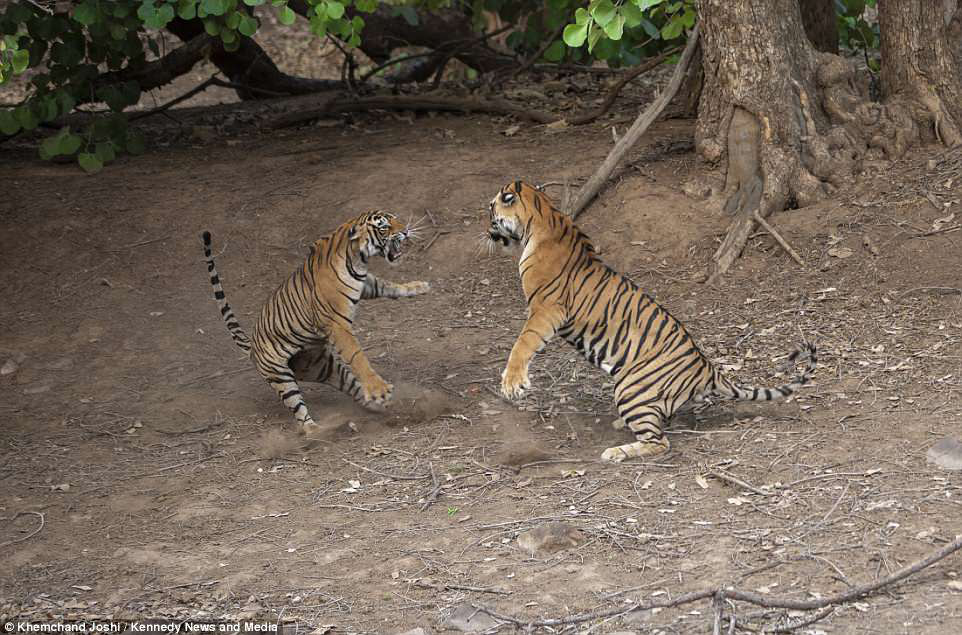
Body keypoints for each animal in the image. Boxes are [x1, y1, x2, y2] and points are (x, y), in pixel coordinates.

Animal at [200, 211, 428, 434]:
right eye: (384, 227)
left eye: (395, 219)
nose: (406, 231)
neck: (357, 259)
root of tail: (252, 347)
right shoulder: (337, 324)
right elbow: (357, 357)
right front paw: (378, 388)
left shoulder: (367, 284)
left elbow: (389, 286)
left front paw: (419, 286)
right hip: (281, 376)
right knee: (300, 412)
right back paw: (320, 430)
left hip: (321, 366)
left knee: (352, 387)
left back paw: (380, 406)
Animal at [484, 181, 812, 464]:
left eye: (492, 209)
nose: (486, 230)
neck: (544, 215)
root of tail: (707, 368)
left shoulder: (546, 309)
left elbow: (523, 343)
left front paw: (512, 383)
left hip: (630, 388)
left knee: (660, 442)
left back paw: (616, 452)